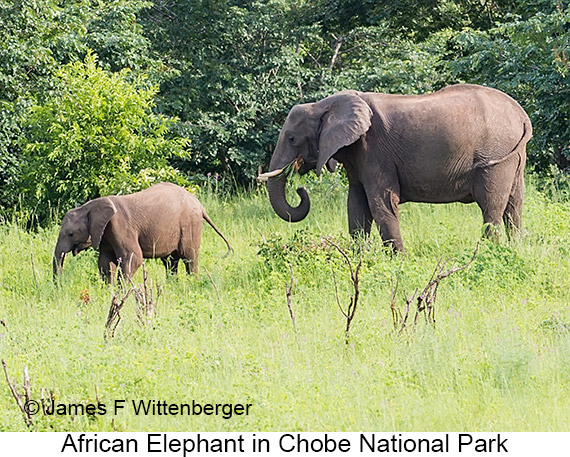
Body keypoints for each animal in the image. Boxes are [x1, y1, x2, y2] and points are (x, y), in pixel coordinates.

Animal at [52, 182, 231, 282]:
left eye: (70, 234)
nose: (58, 286)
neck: (90, 206)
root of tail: (198, 203)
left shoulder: (121, 227)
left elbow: (133, 258)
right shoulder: (105, 234)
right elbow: (105, 262)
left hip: (190, 225)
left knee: (189, 258)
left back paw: (192, 284)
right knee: (170, 261)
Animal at [260, 83, 532, 251]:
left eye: (292, 138)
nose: (300, 190)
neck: (323, 105)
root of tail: (521, 115)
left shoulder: (375, 152)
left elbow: (381, 203)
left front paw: (397, 260)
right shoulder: (358, 156)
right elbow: (356, 205)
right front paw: (358, 258)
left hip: (496, 155)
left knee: (491, 206)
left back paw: (488, 252)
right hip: (514, 158)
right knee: (513, 205)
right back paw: (517, 247)